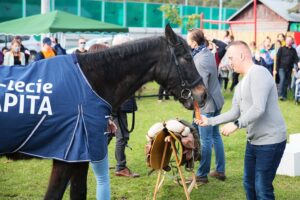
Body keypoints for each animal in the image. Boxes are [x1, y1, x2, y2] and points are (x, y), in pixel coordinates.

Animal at [2, 24, 206, 199]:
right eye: (187, 57)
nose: (203, 94)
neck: (87, 84)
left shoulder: (80, 157)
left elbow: (79, 192)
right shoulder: (65, 157)